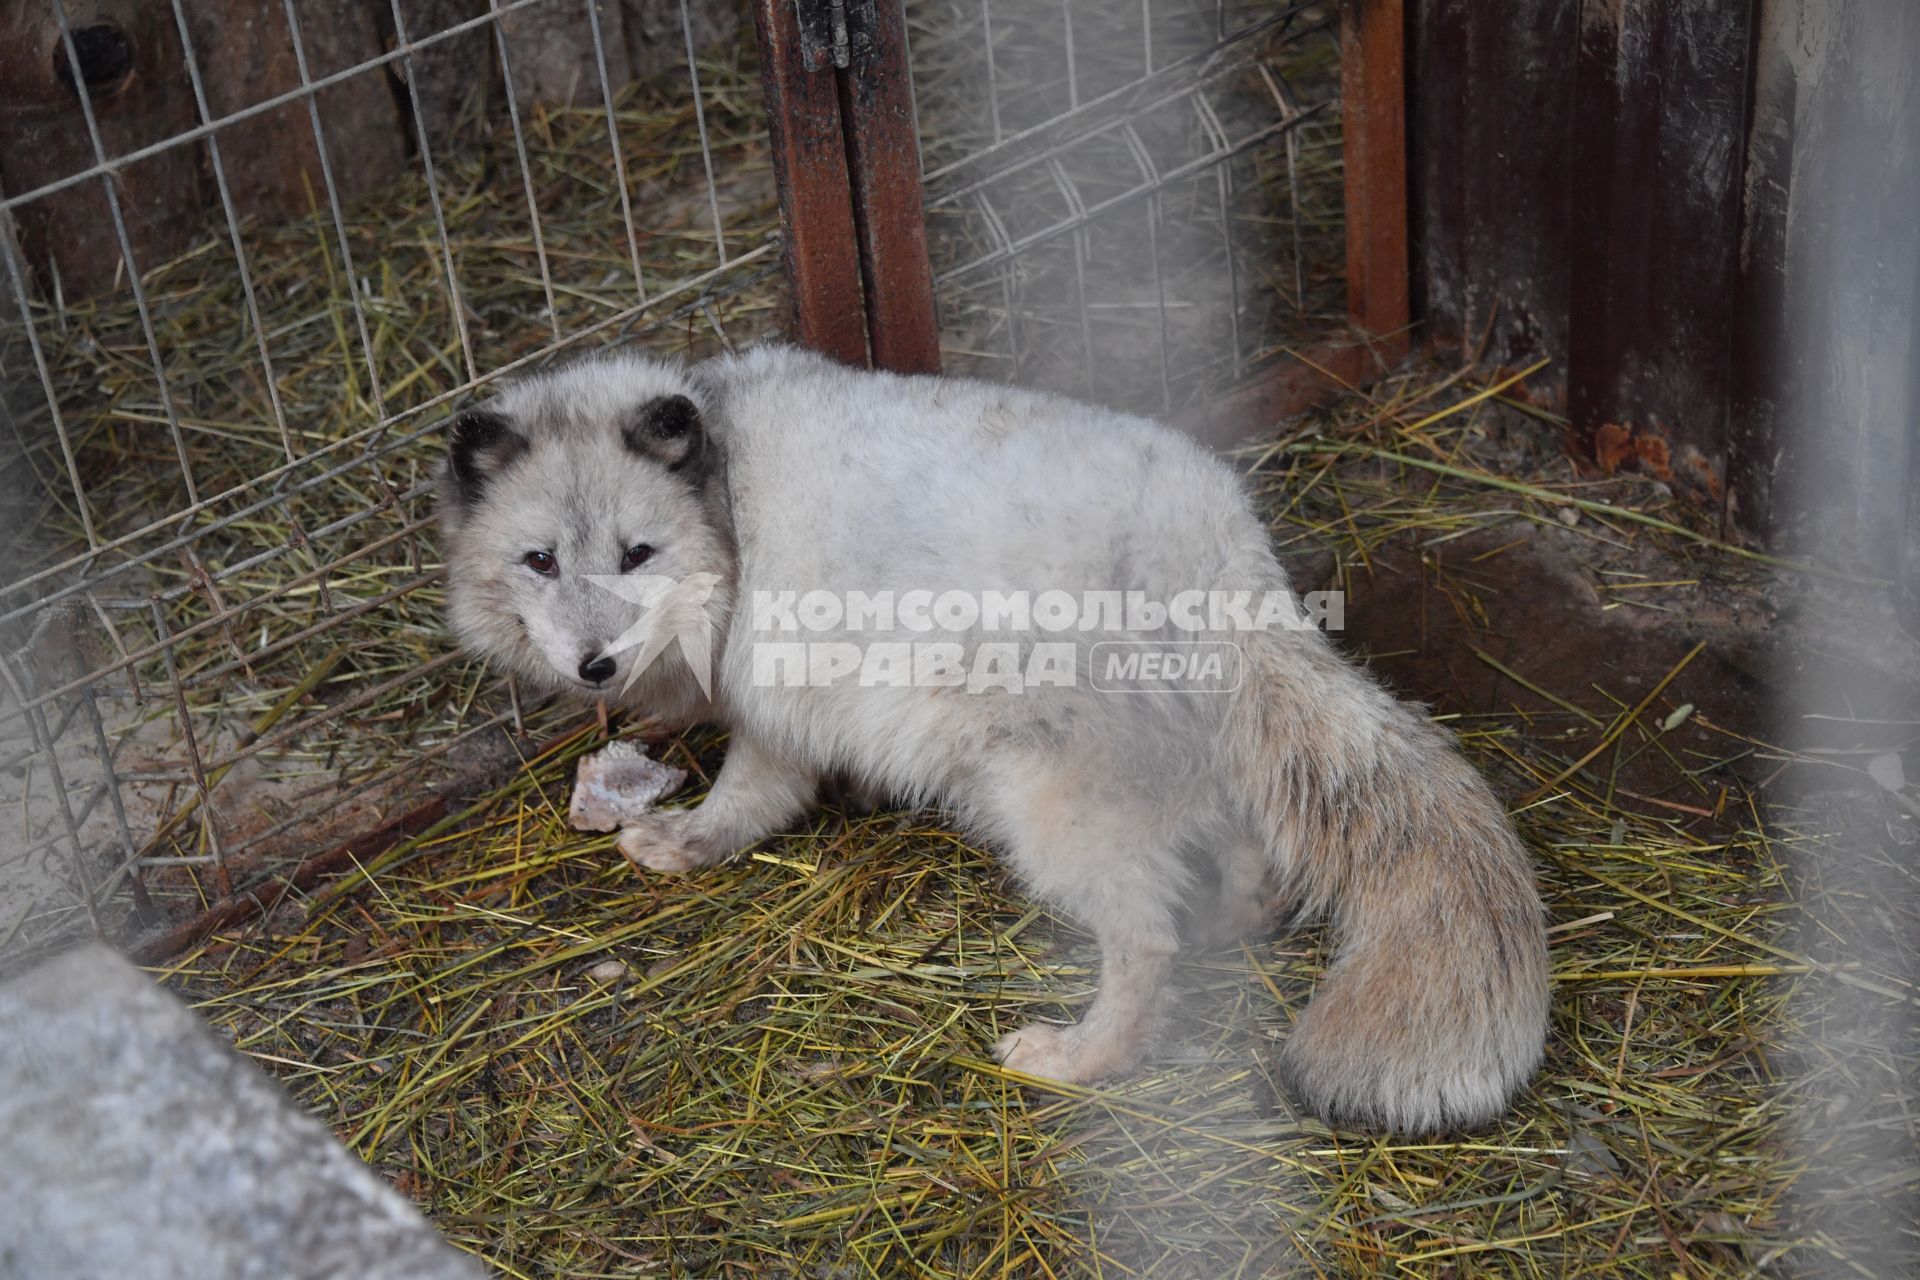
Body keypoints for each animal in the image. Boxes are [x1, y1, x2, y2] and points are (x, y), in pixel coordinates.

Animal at [435, 343, 1543, 1128]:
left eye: (637, 553)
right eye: (539, 560)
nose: (597, 666)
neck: (730, 508)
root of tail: (1215, 544)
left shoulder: (775, 691)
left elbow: (752, 792)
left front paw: (690, 838)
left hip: (1049, 804)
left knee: (1144, 934)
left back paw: (1079, 1057)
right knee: (1236, 847)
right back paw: (1233, 921)